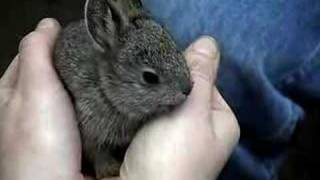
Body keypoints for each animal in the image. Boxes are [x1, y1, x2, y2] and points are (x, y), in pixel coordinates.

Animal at [54, 0, 192, 178]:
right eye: (149, 77)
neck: (106, 91)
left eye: (176, 48)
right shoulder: (89, 131)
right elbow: (97, 153)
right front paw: (109, 170)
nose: (187, 89)